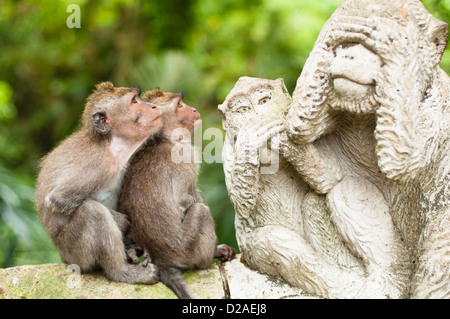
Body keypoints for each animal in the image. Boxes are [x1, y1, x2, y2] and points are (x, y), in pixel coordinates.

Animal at [35, 80, 162, 284]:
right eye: (134, 101)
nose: (153, 106)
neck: (112, 145)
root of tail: (63, 257)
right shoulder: (99, 165)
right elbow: (58, 198)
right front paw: (123, 223)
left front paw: (132, 244)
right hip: (75, 254)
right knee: (92, 211)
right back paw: (121, 272)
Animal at [118, 89, 236, 300]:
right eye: (180, 105)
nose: (194, 109)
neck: (164, 138)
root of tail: (163, 260)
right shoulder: (185, 156)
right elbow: (185, 199)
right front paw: (218, 249)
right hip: (186, 250)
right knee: (200, 211)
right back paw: (209, 257)